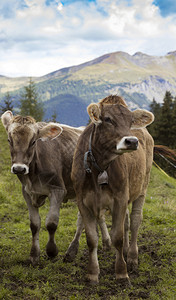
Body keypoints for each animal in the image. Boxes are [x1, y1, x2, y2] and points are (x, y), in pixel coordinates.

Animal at [0, 112, 85, 264]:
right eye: (9, 140)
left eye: (33, 142)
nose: (19, 168)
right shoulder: (27, 192)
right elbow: (34, 224)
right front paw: (34, 255)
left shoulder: (58, 190)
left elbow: (51, 223)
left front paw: (51, 251)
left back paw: (72, 251)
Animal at [69, 95, 154, 284]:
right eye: (107, 119)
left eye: (130, 121)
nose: (132, 141)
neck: (98, 168)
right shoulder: (83, 201)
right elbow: (91, 239)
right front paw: (92, 274)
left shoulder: (120, 198)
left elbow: (118, 237)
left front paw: (121, 272)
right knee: (127, 221)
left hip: (142, 188)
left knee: (135, 221)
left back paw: (132, 257)